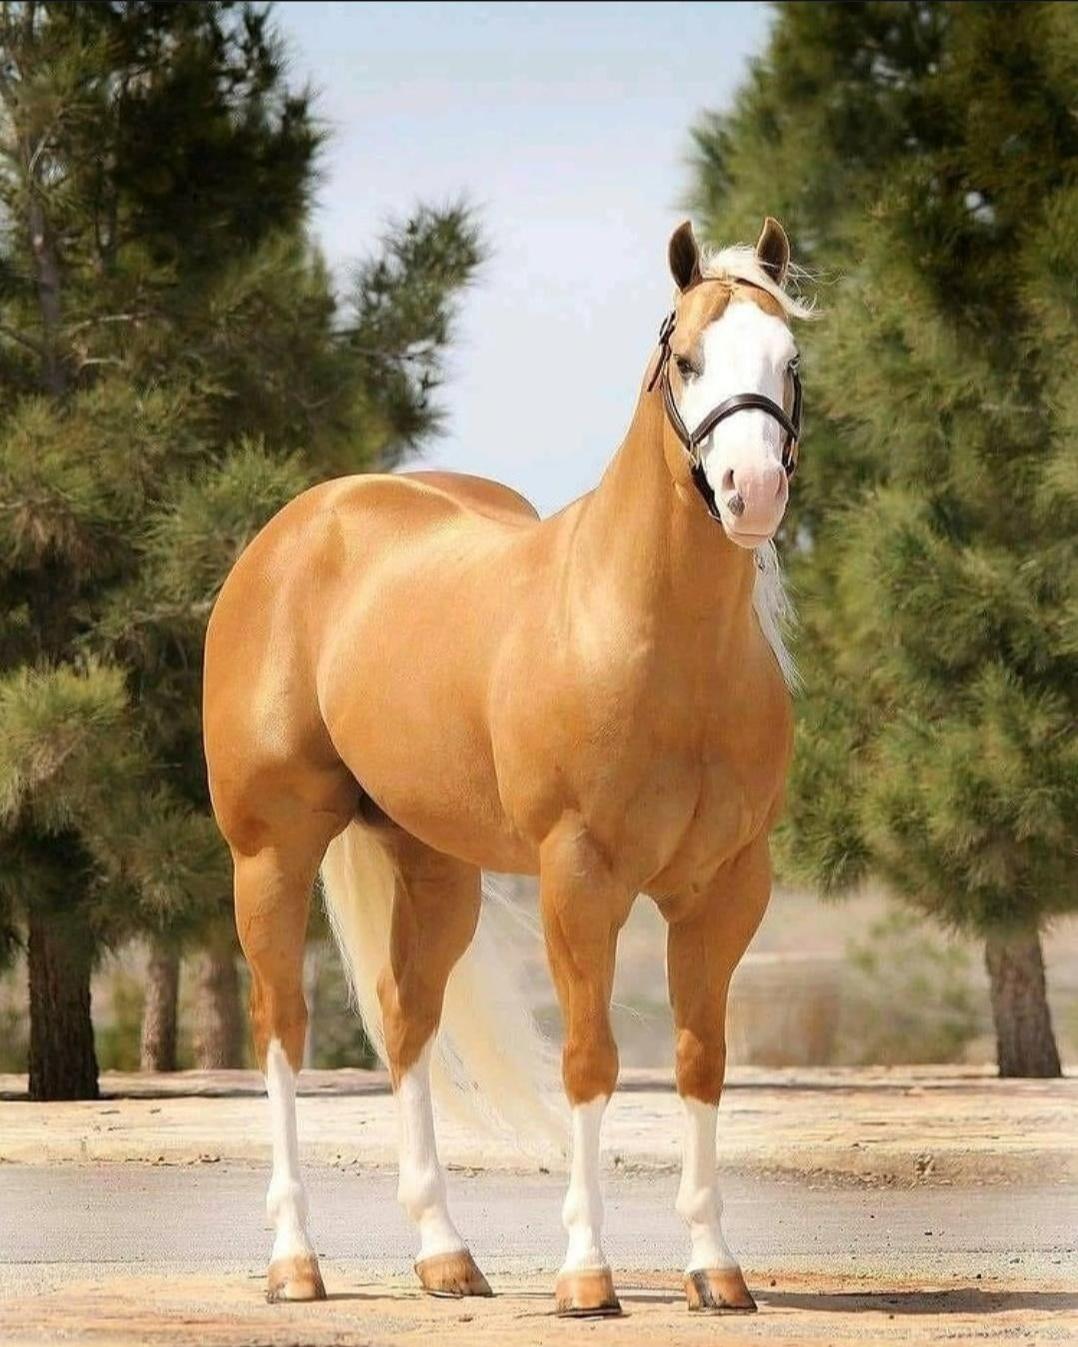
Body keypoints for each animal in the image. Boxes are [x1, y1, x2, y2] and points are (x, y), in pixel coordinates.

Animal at [203, 216, 810, 1318]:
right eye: (687, 360)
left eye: (787, 361)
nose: (753, 492)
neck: (654, 638)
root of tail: (300, 528)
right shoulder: (581, 877)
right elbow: (590, 1061)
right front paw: (586, 1274)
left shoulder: (725, 888)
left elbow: (699, 1062)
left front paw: (714, 1267)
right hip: (269, 853)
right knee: (283, 1030)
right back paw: (296, 1262)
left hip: (433, 865)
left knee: (406, 1021)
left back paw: (445, 1254)